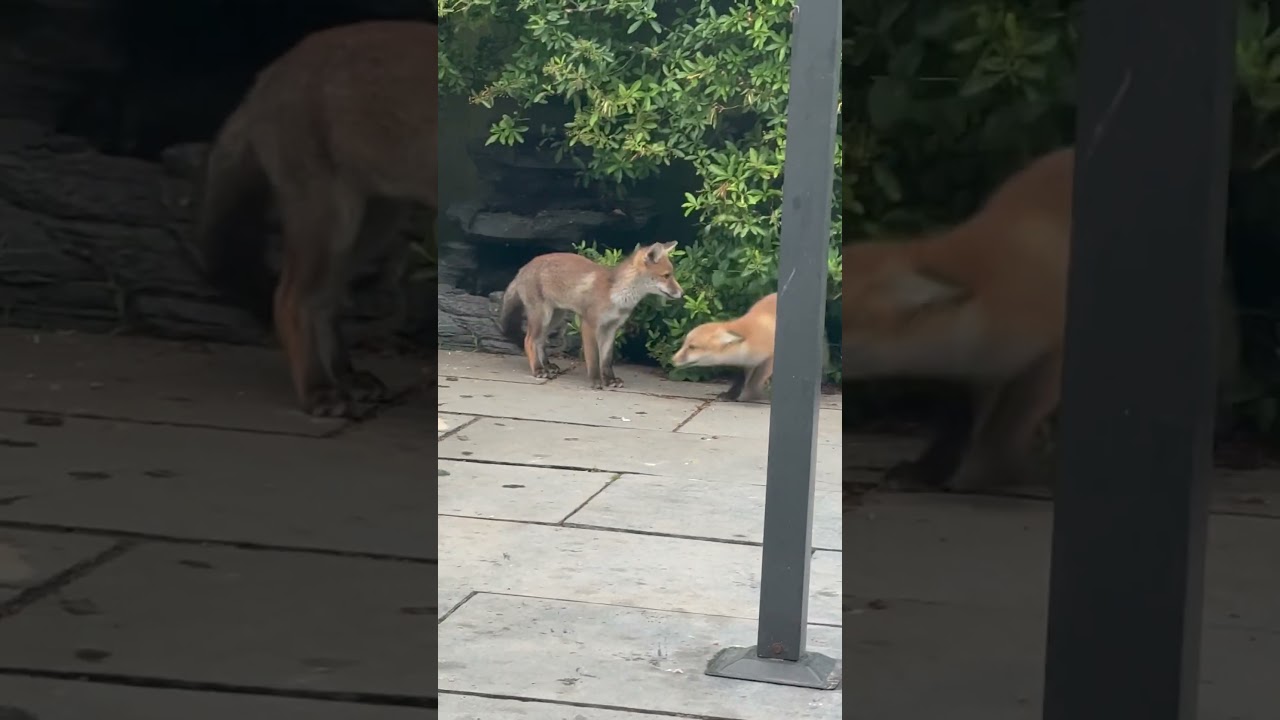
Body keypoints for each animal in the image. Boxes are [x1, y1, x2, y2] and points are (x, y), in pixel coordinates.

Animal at [185, 20, 437, 418]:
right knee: (289, 299)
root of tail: (271, 71)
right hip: (332, 222)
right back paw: (318, 389)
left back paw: (343, 375)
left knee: (326, 302)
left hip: (373, 224)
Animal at [499, 242, 684, 389]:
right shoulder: (589, 323)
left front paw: (610, 379)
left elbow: (606, 359)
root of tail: (524, 267)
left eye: (672, 274)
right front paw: (596, 381)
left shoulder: (610, 328)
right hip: (542, 316)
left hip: (555, 317)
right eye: (666, 276)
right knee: (529, 340)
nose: (682, 293)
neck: (615, 294)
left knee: (540, 341)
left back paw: (547, 365)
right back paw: (538, 369)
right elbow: (593, 357)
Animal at [842, 146, 1239, 492]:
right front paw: (926, 472)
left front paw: (992, 472)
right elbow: (958, 427)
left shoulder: (1051, 353)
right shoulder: (975, 372)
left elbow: (1007, 425)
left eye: (842, 317)